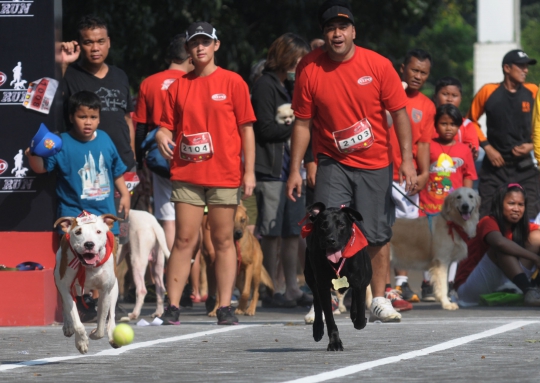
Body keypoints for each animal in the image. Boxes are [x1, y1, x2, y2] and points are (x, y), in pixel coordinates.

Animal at [54, 212, 121, 356]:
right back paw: (68, 326)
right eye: (78, 232)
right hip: (58, 279)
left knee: (112, 313)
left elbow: (101, 324)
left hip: (114, 287)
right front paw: (82, 342)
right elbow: (76, 319)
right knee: (64, 305)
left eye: (98, 231)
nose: (89, 244)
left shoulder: (105, 291)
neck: (88, 267)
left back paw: (112, 335)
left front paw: (94, 333)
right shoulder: (65, 286)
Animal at [302, 204, 374, 352]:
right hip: (309, 275)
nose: (330, 240)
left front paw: (359, 319)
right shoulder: (323, 285)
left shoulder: (360, 283)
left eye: (341, 225)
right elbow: (329, 317)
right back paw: (317, 329)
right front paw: (335, 343)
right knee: (317, 300)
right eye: (323, 225)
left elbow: (360, 310)